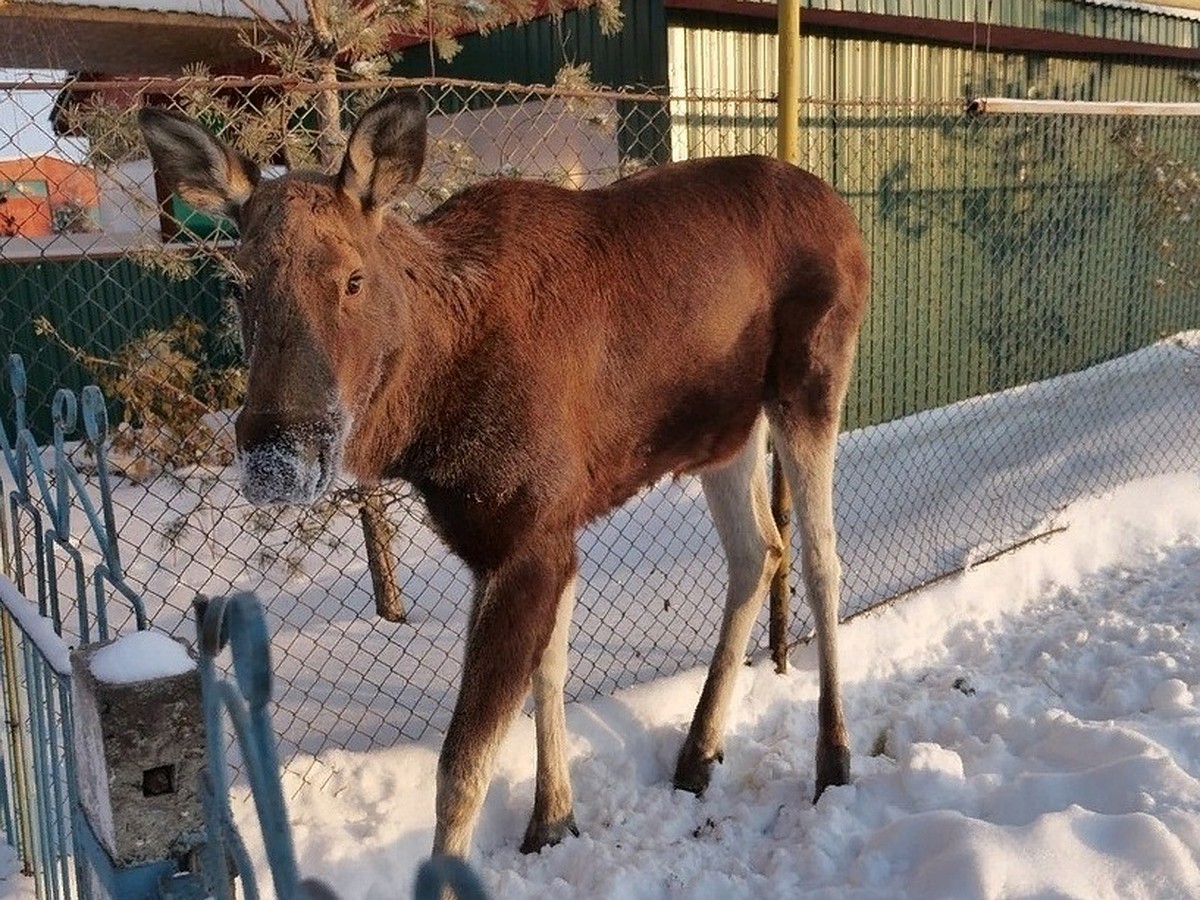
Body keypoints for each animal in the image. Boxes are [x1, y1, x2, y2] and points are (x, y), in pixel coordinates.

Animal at [140, 91, 868, 859]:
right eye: (236, 284)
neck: (428, 417)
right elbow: (547, 670)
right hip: (726, 430)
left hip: (812, 380)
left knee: (820, 557)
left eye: (353, 278)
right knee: (758, 550)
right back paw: (698, 752)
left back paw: (834, 759)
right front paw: (552, 817)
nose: (278, 456)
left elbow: (462, 767)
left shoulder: (528, 536)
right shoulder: (517, 537)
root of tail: (841, 211)